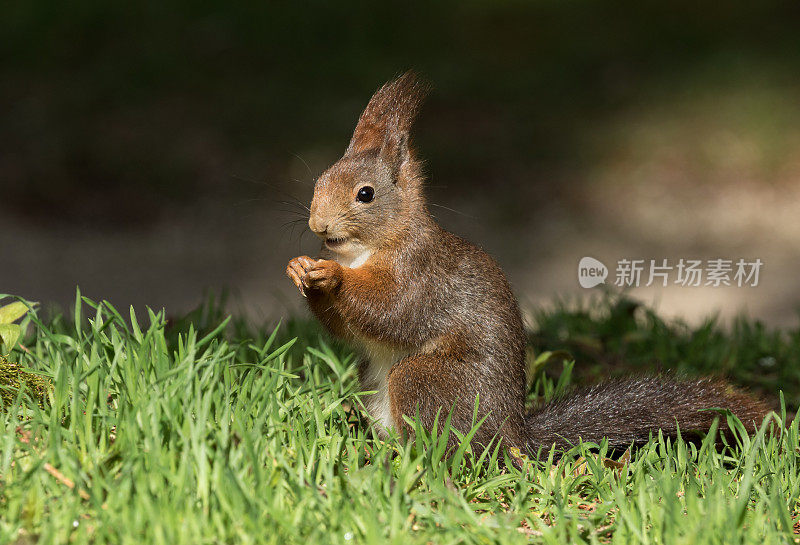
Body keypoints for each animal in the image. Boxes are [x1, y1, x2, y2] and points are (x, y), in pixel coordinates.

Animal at [288, 71, 768, 454]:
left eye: (365, 194)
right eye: (320, 179)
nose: (316, 223)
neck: (370, 249)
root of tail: (512, 437)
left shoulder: (420, 274)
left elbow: (391, 311)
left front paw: (330, 276)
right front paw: (299, 269)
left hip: (426, 378)